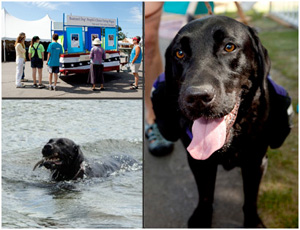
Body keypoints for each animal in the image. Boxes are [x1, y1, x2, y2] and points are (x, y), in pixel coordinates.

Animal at [151, 15, 292, 227]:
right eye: (179, 53)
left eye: (229, 47)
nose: (197, 97)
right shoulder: (199, 162)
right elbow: (205, 194)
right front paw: (202, 217)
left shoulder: (256, 161)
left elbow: (250, 198)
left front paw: (253, 221)